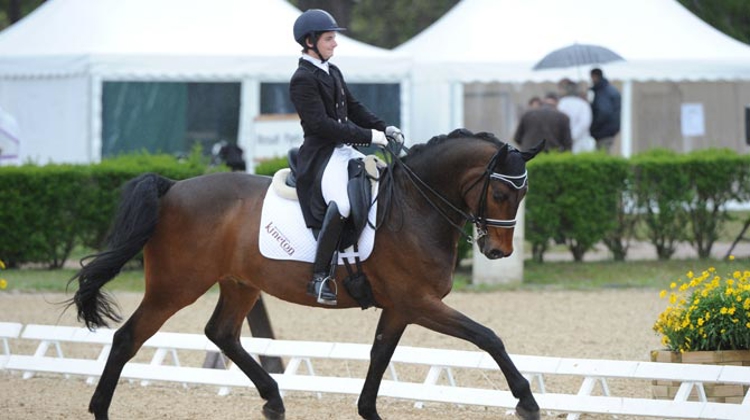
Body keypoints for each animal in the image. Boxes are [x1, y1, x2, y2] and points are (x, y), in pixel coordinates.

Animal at [67, 129, 544, 420]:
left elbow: (380, 355)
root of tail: (172, 187)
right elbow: (487, 337)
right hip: (175, 287)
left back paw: (274, 399)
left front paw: (368, 409)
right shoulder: (419, 303)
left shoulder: (399, 308)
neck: (414, 207)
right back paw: (100, 409)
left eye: (523, 195)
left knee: (221, 333)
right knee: (127, 338)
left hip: (240, 284)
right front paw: (526, 399)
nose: (497, 252)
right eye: (501, 193)